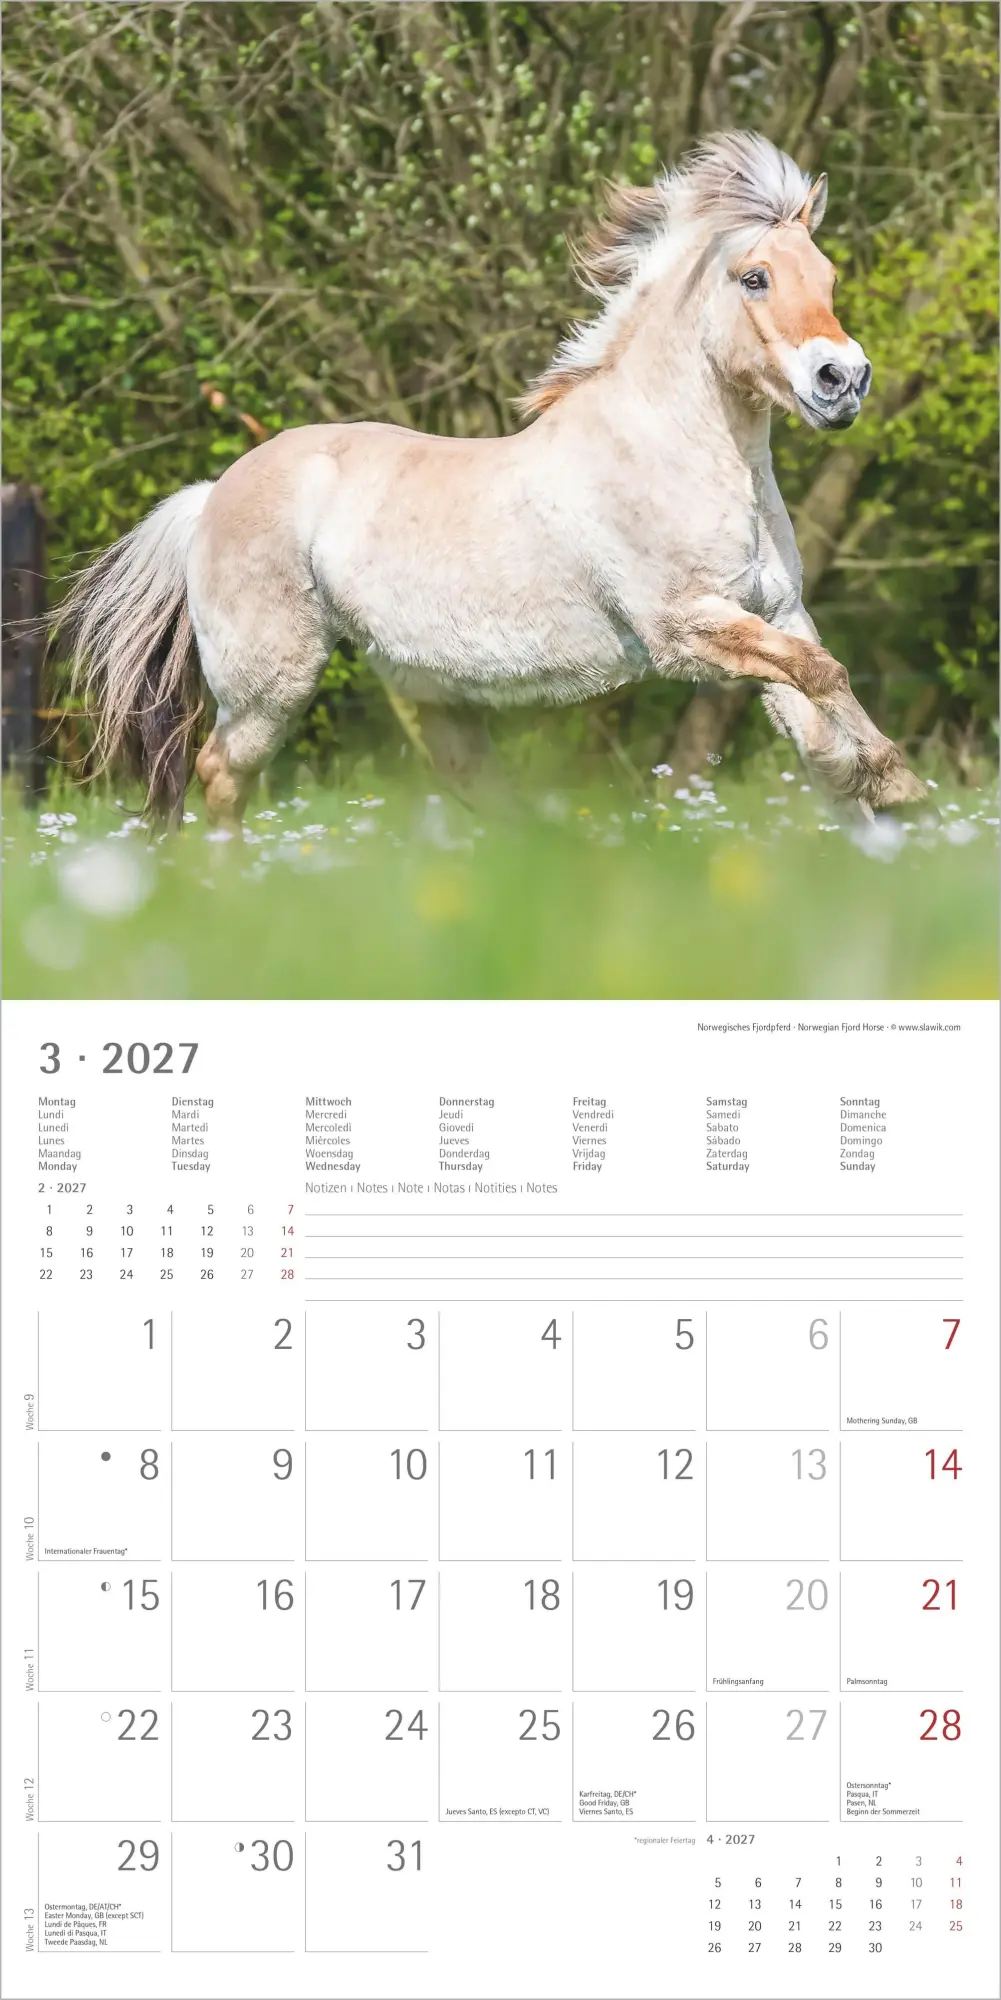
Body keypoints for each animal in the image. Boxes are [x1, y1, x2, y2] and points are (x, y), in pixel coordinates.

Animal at [58, 128, 925, 827]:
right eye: (754, 278)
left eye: (827, 276)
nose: (842, 380)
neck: (679, 453)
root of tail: (210, 498)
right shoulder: (685, 629)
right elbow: (822, 676)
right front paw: (893, 783)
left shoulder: (774, 611)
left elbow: (818, 705)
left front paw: (882, 790)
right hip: (272, 683)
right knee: (219, 776)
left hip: (428, 694)